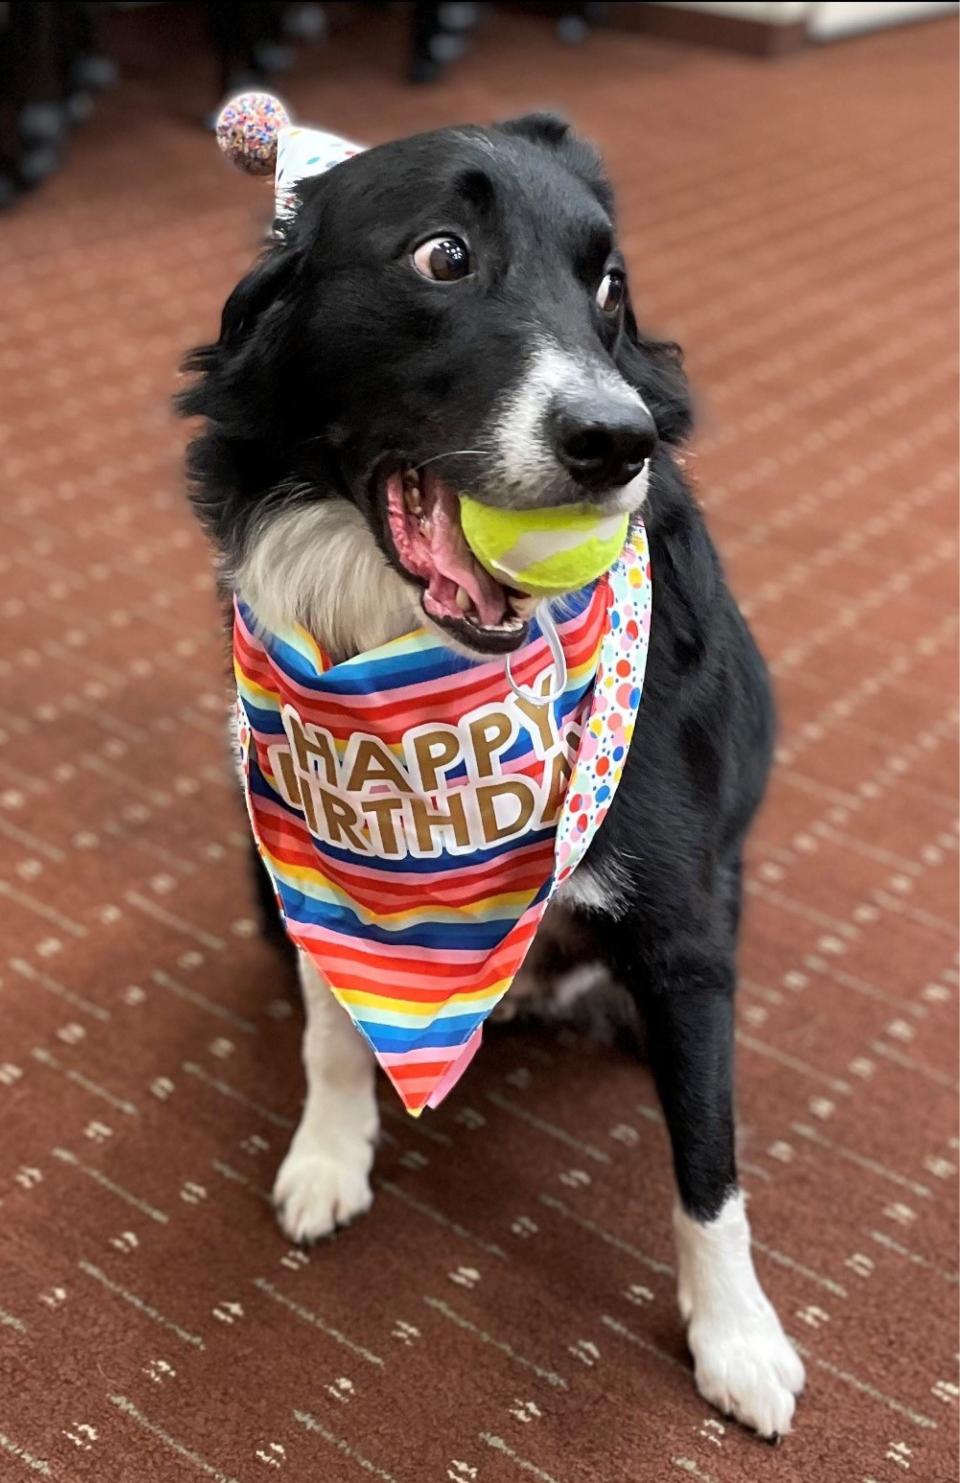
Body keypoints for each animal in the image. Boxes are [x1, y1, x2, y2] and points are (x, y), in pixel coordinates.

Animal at [178, 112, 801, 1435]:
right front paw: (328, 1154)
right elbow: (330, 1026)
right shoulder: (307, 860)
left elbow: (710, 1160)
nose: (617, 440)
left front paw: (736, 1337)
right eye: (444, 257)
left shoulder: (684, 934)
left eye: (609, 285)